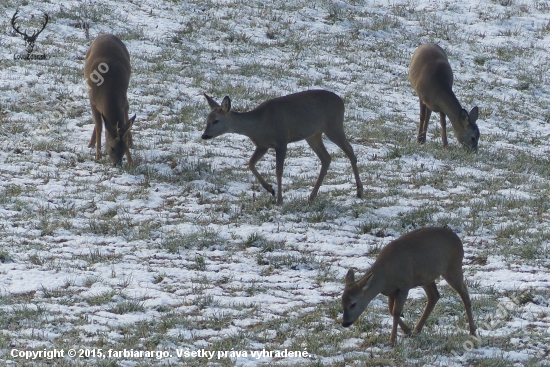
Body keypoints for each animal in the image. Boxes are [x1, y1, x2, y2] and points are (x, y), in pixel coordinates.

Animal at [84, 34, 136, 167]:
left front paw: (130, 161)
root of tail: (106, 34)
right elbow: (99, 125)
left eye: (124, 148)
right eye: (112, 148)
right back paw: (91, 143)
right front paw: (98, 155)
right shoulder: (92, 100)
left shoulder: (123, 97)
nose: (117, 164)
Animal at [201, 89, 364, 204]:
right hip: (313, 135)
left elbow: (279, 171)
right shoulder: (262, 145)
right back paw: (312, 196)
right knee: (326, 158)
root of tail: (341, 101)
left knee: (350, 151)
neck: (258, 126)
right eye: (207, 119)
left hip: (333, 126)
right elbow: (250, 163)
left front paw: (279, 199)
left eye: (216, 120)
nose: (204, 135)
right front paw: (270, 189)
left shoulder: (281, 141)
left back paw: (359, 192)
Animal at [342, 227, 476, 344]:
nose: (344, 323)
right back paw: (416, 330)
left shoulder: (404, 285)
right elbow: (391, 310)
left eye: (353, 304)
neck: (385, 278)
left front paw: (392, 340)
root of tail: (458, 240)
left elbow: (396, 311)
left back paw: (472, 331)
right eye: (342, 302)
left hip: (453, 266)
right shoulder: (391, 291)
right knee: (434, 296)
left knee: (464, 293)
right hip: (427, 277)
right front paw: (407, 331)